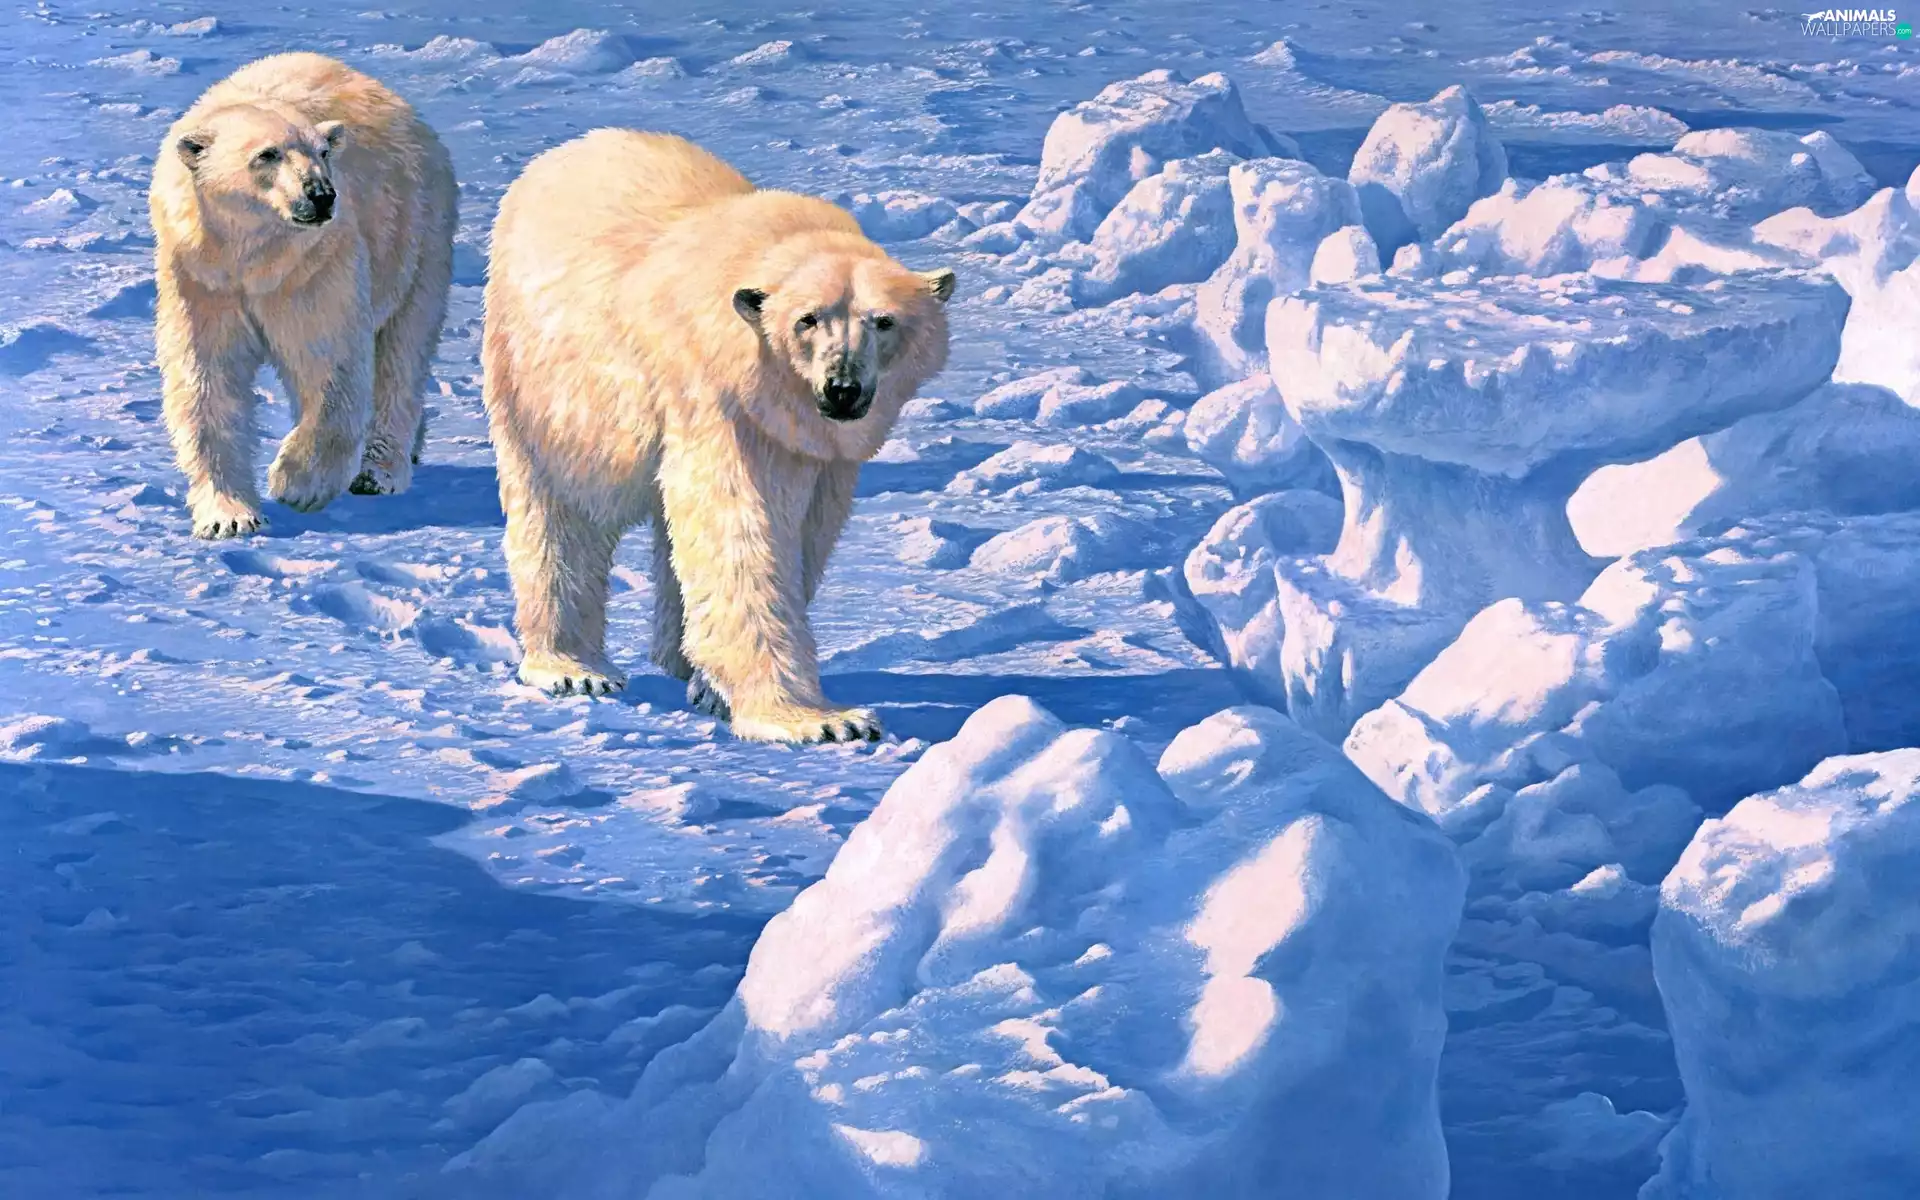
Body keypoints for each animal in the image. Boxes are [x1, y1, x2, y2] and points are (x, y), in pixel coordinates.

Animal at [150, 52, 458, 539]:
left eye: (323, 152)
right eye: (267, 154)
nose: (321, 195)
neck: (254, 257)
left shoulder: (312, 266)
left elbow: (328, 361)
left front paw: (294, 482)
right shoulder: (202, 276)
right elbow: (207, 377)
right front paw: (228, 516)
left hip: (417, 240)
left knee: (401, 353)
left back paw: (379, 470)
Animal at [482, 129, 955, 744]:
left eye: (884, 320)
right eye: (807, 319)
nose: (842, 389)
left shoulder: (812, 451)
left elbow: (804, 534)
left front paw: (712, 688)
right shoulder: (718, 403)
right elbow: (738, 531)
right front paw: (823, 720)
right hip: (545, 383)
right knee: (564, 509)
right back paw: (572, 667)